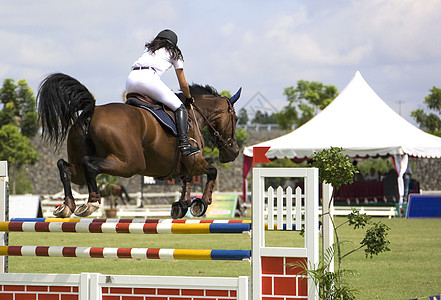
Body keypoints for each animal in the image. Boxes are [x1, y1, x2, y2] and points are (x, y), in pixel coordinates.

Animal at [37, 72, 241, 218]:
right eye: (236, 119)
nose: (234, 152)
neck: (193, 116)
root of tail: (90, 112)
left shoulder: (185, 167)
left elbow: (187, 180)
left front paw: (182, 205)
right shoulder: (196, 161)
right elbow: (212, 171)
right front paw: (202, 203)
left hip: (82, 169)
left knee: (66, 167)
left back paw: (67, 206)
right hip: (130, 164)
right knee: (89, 164)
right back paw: (91, 202)